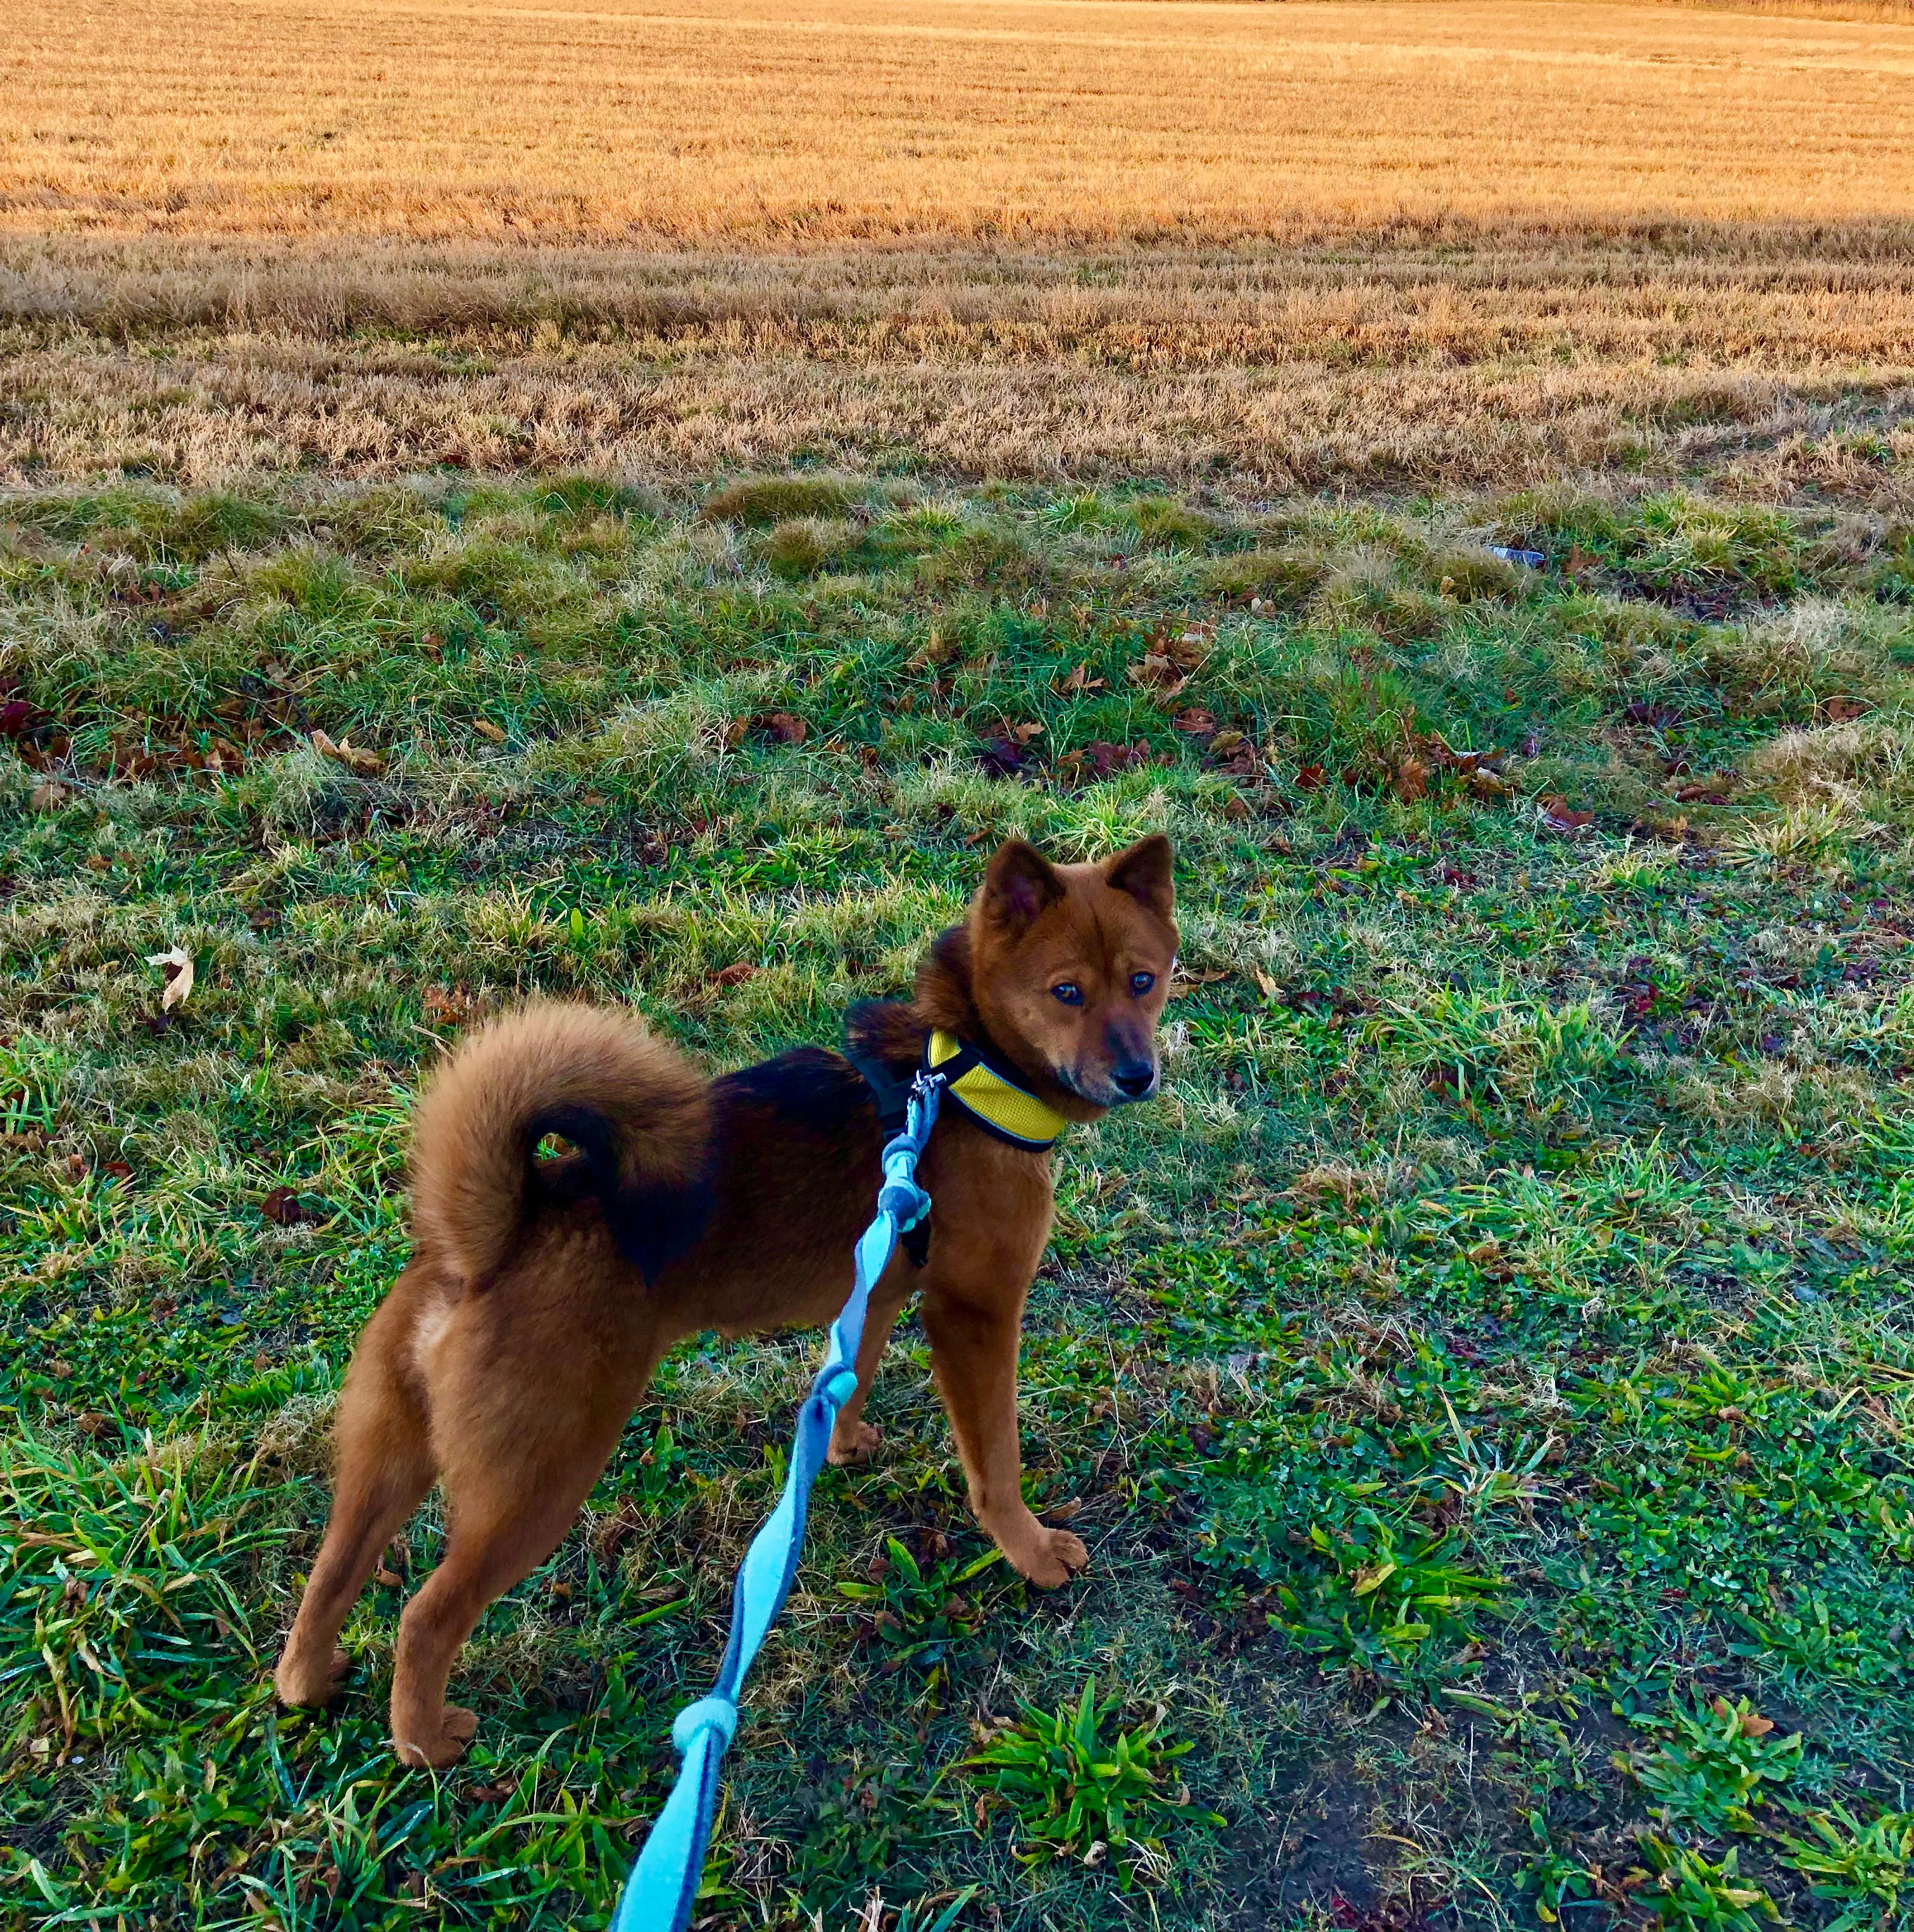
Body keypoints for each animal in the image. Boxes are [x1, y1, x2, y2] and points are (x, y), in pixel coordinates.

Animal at [272, 834, 1177, 1767]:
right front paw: (1029, 1551)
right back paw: (425, 1739)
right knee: (426, 1614)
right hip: (538, 1483)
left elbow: (850, 1376)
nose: (1137, 1074)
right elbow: (996, 1465)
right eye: (1066, 992)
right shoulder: (976, 1317)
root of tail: (491, 1239)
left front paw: (838, 1447)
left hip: (388, 1456)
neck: (964, 1079)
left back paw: (310, 1680)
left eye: (1144, 980)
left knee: (329, 1579)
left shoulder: (878, 1287)